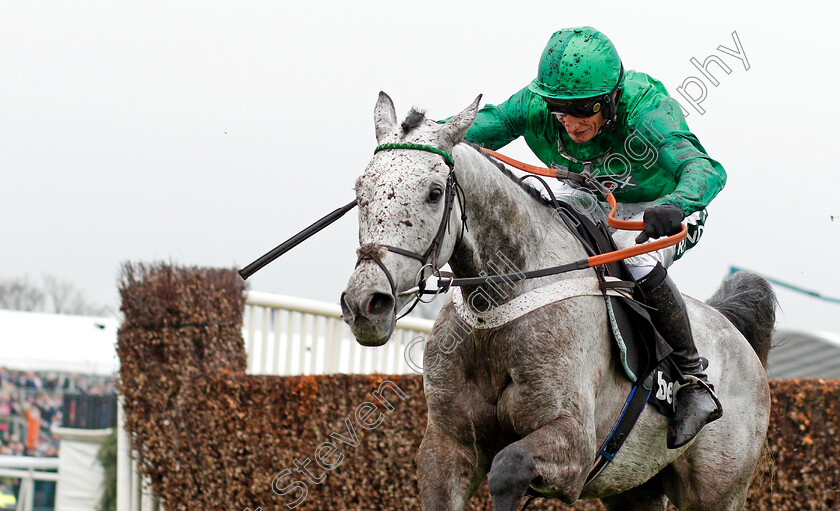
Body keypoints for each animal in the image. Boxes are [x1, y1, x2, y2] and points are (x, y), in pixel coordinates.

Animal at [340, 94, 776, 510]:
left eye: (433, 193)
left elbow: (508, 469)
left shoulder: (574, 445)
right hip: (634, 491)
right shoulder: (448, 447)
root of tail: (731, 328)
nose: (366, 304)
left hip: (718, 491)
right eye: (360, 191)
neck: (497, 303)